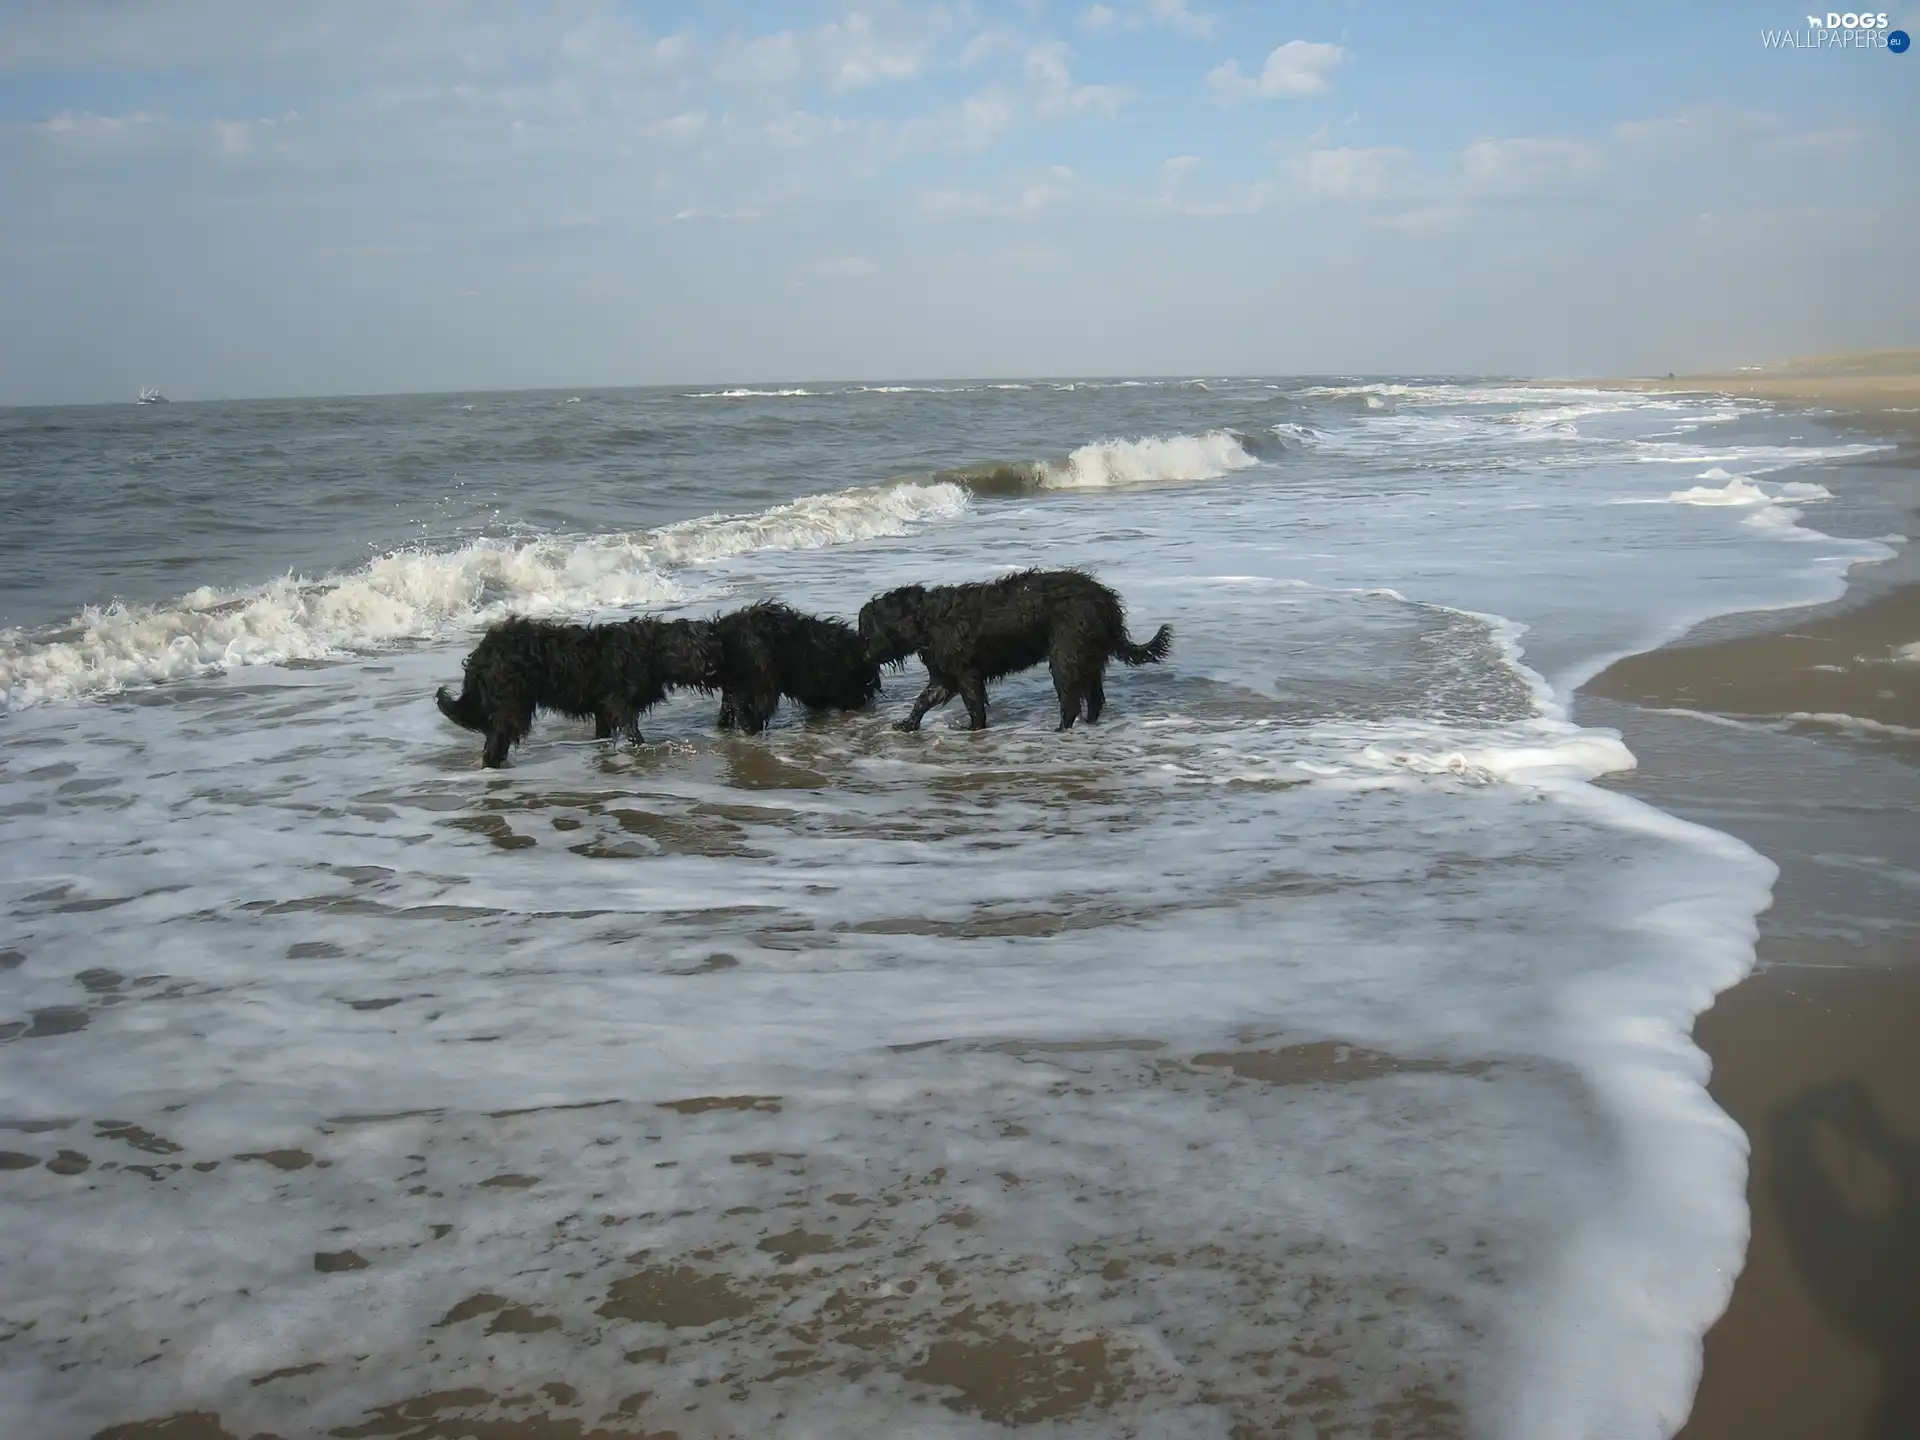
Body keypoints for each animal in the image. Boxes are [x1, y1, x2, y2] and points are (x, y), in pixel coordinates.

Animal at [435, 614, 721, 768]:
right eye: (701, 648)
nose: (713, 668)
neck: (651, 651)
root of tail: (483, 652)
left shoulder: (604, 710)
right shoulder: (620, 705)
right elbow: (633, 732)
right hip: (512, 706)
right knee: (495, 743)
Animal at [860, 568, 1167, 733]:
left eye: (866, 632)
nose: (865, 658)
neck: (924, 620)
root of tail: (1105, 600)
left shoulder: (966, 673)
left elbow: (974, 704)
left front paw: (974, 730)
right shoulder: (944, 676)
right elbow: (923, 699)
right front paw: (908, 724)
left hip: (1065, 656)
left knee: (1070, 700)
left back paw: (1060, 729)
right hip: (1088, 656)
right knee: (1094, 699)